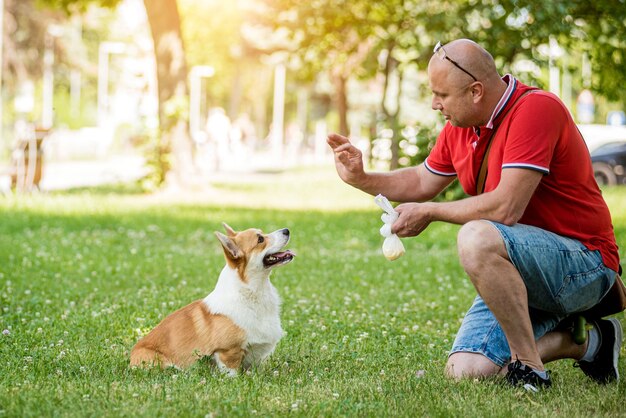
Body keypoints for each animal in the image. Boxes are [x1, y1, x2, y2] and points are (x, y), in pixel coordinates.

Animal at [130, 224, 294, 374]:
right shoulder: (228, 352)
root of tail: (131, 357)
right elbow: (232, 373)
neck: (251, 292)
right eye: (260, 239)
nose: (287, 230)